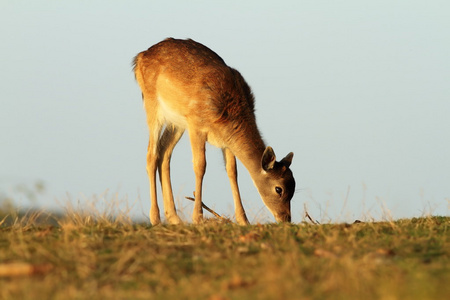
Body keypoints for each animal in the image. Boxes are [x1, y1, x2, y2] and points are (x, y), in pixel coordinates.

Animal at [134, 38, 296, 225]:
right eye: (279, 189)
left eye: (294, 185)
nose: (286, 218)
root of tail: (140, 57)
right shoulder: (196, 125)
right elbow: (200, 165)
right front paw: (197, 217)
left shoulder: (225, 141)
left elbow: (232, 171)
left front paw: (243, 220)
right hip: (153, 105)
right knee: (151, 155)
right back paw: (155, 218)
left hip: (177, 123)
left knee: (164, 153)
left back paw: (174, 218)